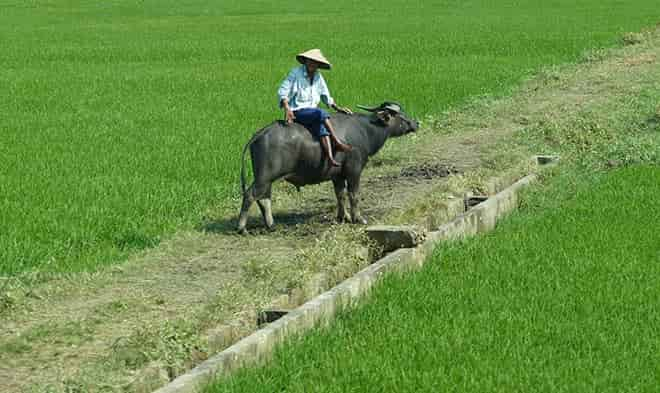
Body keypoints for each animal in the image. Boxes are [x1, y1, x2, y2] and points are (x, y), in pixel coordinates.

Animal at [237, 101, 418, 233]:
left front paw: (343, 217)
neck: (366, 129)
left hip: (266, 178)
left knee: (264, 198)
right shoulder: (354, 170)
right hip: (265, 176)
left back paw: (271, 225)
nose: (416, 123)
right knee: (250, 195)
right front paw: (358, 218)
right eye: (401, 116)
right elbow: (354, 195)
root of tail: (260, 133)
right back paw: (241, 227)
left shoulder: (337, 175)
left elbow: (340, 195)